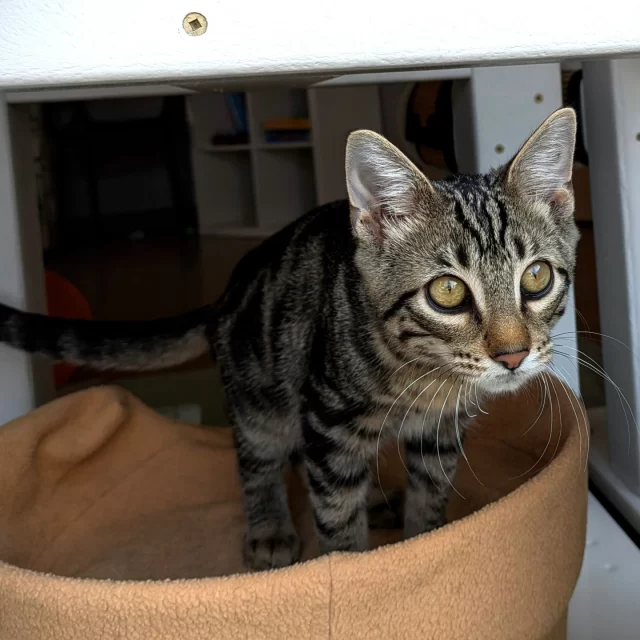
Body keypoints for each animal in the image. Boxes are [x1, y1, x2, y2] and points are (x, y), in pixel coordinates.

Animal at [0, 109, 580, 568]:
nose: (513, 355)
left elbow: (429, 495)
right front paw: (354, 569)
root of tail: (226, 293)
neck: (423, 373)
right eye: (447, 292)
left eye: (536, 277)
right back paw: (270, 527)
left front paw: (425, 542)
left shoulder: (437, 433)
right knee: (262, 459)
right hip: (264, 398)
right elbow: (336, 518)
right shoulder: (328, 412)